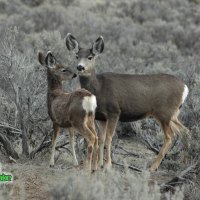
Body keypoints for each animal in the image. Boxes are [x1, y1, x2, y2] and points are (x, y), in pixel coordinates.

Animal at [65, 33, 189, 172]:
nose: (80, 67)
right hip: (172, 114)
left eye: (90, 57)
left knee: (170, 136)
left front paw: (107, 165)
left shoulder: (114, 111)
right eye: (76, 56)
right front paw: (99, 164)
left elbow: (109, 138)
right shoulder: (101, 117)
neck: (98, 88)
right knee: (185, 131)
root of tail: (185, 88)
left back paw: (152, 167)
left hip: (164, 113)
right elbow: (101, 138)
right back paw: (185, 163)